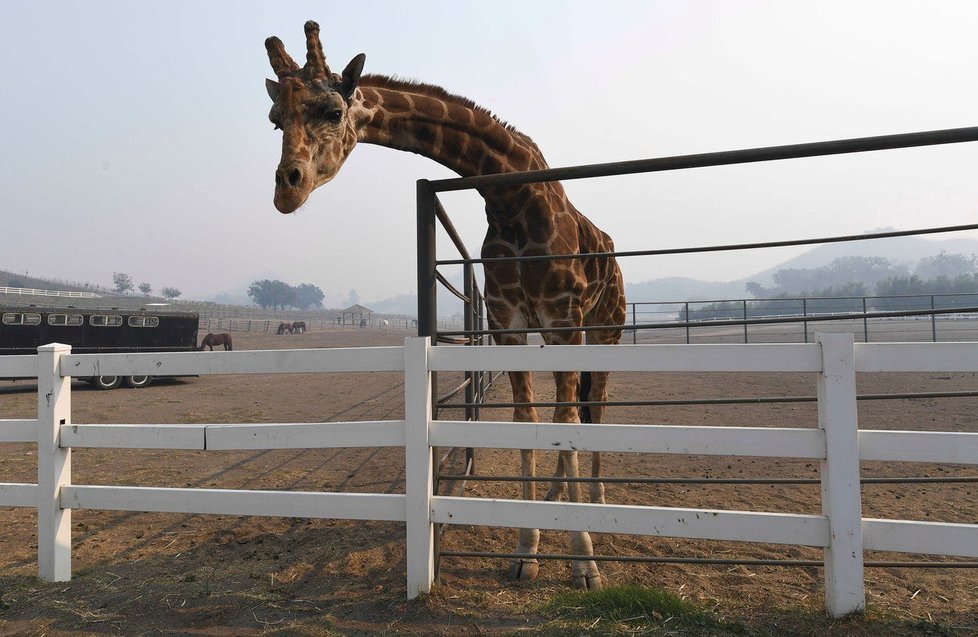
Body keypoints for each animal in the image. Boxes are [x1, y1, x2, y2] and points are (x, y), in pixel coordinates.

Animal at [264, 22, 620, 588]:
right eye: (275, 119)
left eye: (332, 112)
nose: (286, 190)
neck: (513, 201)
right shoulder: (509, 324)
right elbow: (529, 421)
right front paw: (527, 550)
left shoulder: (565, 320)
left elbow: (565, 424)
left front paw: (584, 564)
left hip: (606, 328)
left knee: (596, 408)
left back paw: (598, 502)